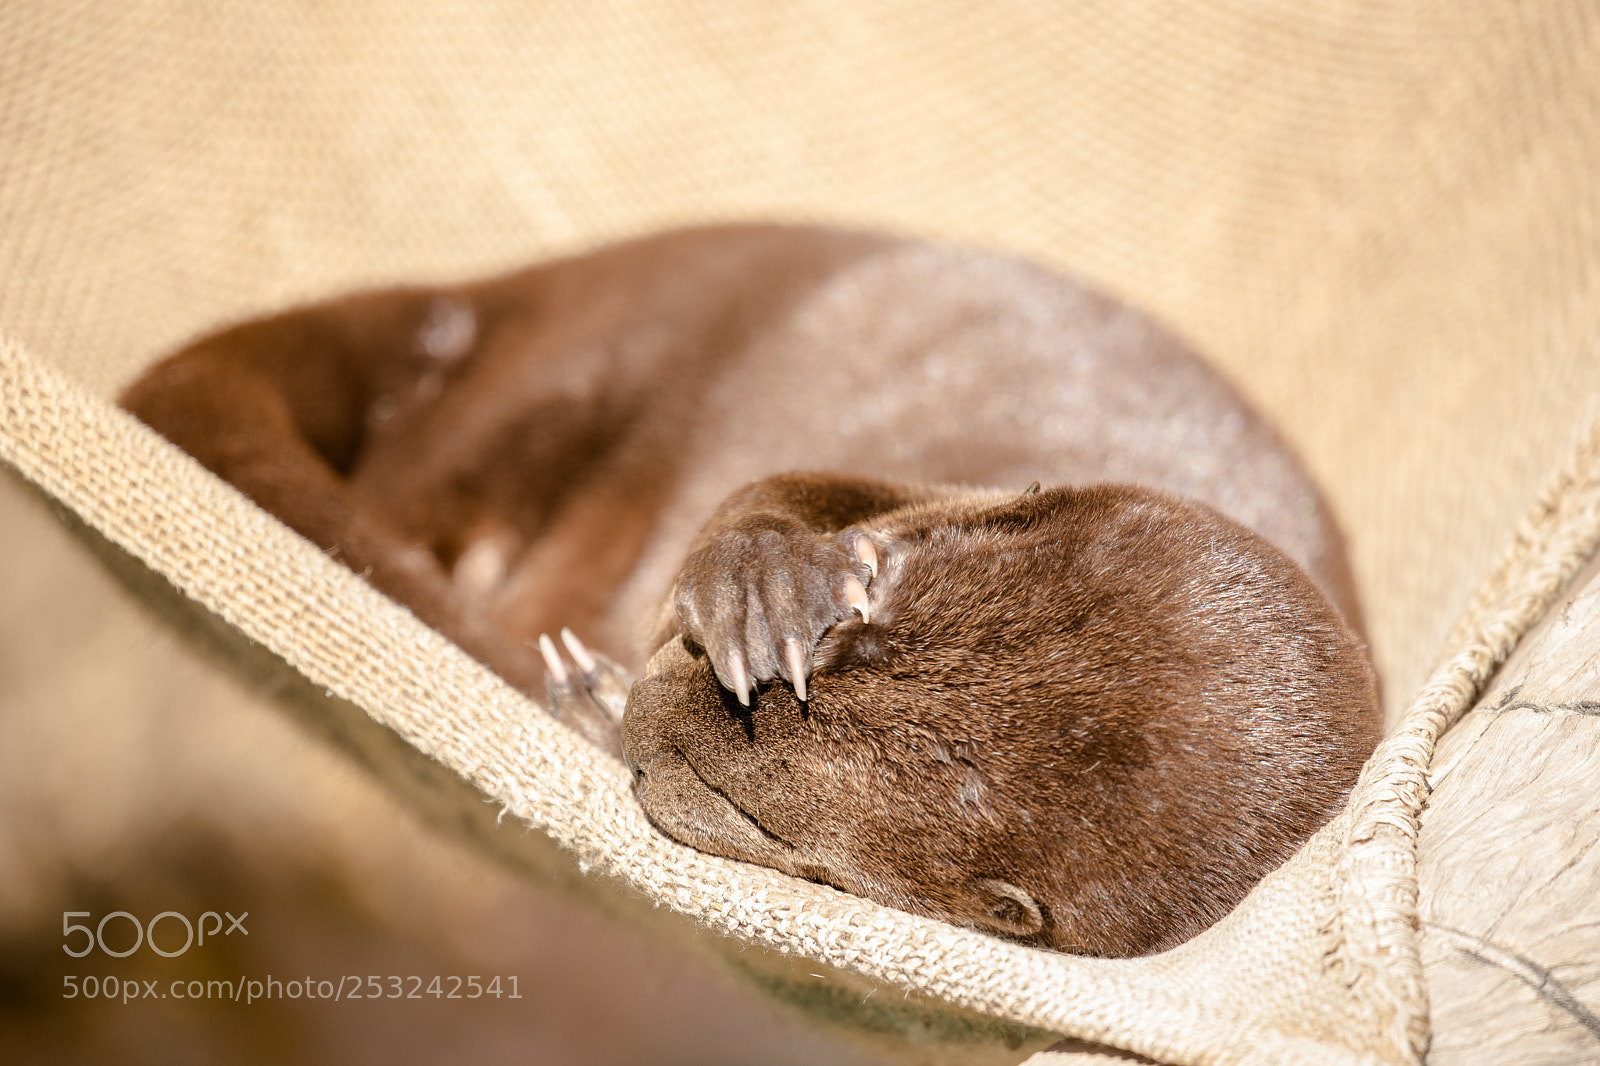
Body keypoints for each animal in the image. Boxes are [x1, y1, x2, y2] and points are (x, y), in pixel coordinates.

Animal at [120, 223, 1381, 956]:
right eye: (866, 583)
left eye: (754, 815)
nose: (645, 703)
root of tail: (503, 289)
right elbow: (774, 489)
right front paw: (759, 583)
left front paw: (593, 695)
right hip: (592, 357)